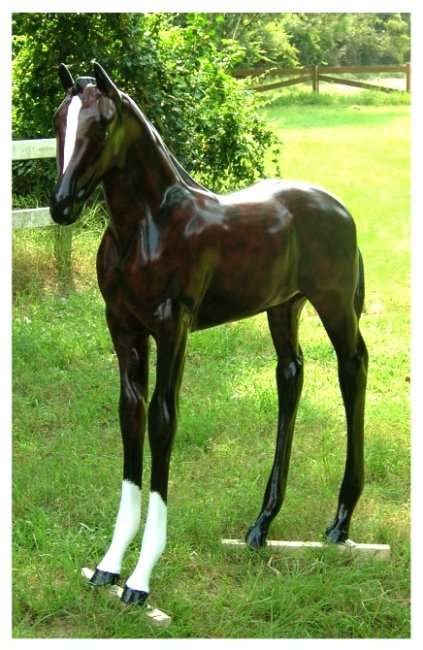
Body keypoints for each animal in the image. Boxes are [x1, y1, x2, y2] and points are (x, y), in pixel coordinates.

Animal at [50, 62, 368, 607]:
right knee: (291, 374)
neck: (147, 227)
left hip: (333, 302)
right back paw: (261, 525)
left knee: (353, 368)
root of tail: (339, 208)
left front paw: (141, 578)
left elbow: (163, 419)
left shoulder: (173, 326)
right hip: (284, 306)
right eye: (58, 120)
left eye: (103, 125)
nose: (61, 204)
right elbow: (131, 414)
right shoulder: (123, 327)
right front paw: (109, 566)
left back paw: (340, 521)